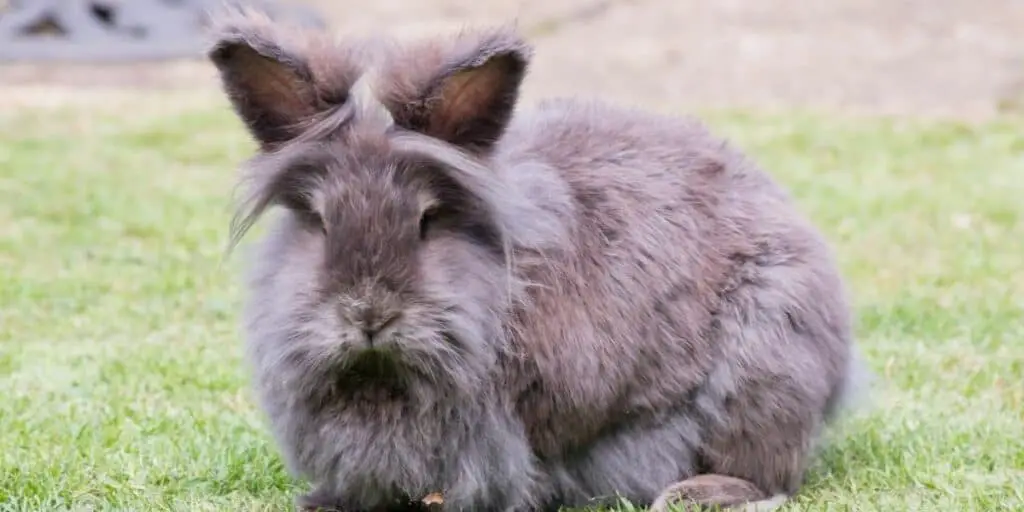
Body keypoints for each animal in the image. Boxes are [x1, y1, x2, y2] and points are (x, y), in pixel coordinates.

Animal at [207, 8, 864, 512]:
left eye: (426, 220)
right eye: (318, 221)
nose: (369, 314)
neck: (383, 379)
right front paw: (323, 500)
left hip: (767, 370)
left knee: (768, 471)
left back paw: (696, 493)